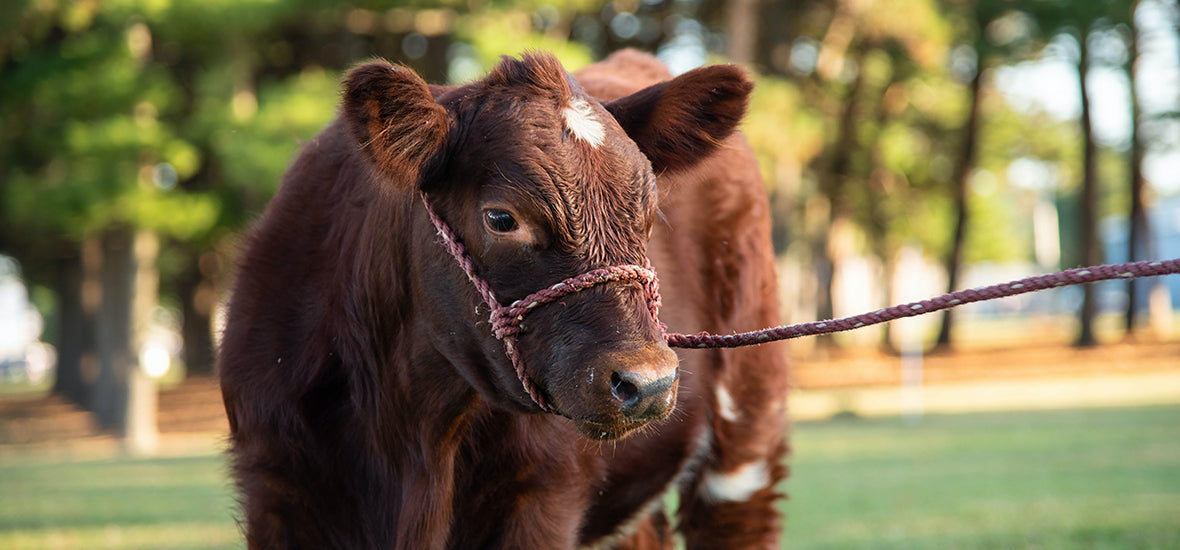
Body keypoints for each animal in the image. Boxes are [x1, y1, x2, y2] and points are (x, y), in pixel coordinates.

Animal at [221, 49, 792, 547]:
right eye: (501, 217)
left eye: (650, 216)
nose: (648, 382)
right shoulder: (276, 489)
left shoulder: (541, 498)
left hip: (747, 438)